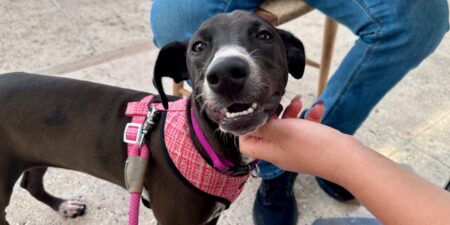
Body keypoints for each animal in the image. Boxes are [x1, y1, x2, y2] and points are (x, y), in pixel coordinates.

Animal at [0, 11, 306, 225]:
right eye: (198, 47)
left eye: (265, 36)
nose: (226, 73)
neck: (202, 144)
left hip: (37, 150)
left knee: (31, 183)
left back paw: (64, 206)